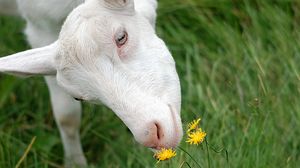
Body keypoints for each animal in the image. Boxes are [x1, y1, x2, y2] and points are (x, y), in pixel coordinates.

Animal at [0, 0, 183, 166]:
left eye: (121, 37)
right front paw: (75, 162)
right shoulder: (39, 26)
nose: (151, 135)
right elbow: (66, 117)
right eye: (78, 98)